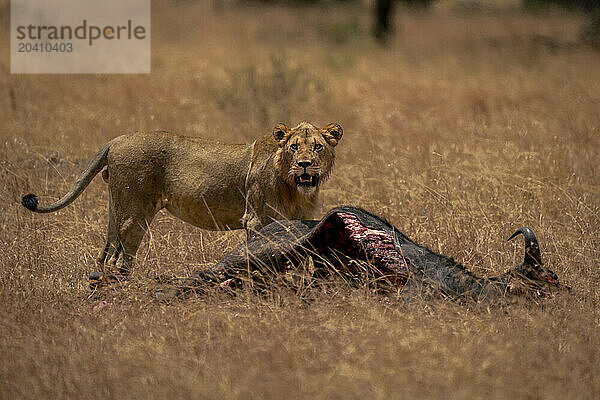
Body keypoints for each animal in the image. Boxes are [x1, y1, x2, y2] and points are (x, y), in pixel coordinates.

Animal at [22, 122, 342, 276]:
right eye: (293, 147)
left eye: (317, 147)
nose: (304, 165)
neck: (293, 186)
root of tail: (116, 140)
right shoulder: (256, 220)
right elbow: (261, 256)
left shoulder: (297, 222)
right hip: (134, 213)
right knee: (120, 255)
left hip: (118, 207)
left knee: (106, 250)